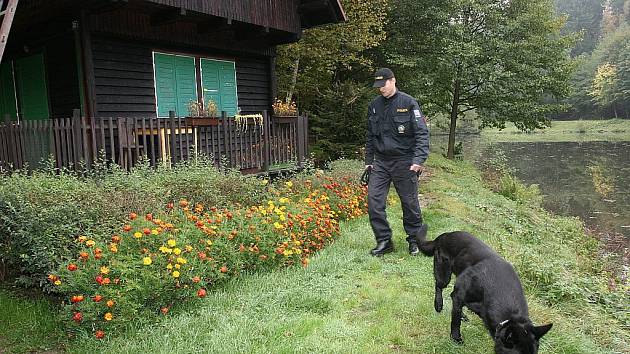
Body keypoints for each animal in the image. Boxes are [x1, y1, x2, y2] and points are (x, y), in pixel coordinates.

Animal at [420, 228, 552, 352]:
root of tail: (445, 235)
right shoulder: (460, 295)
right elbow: (456, 321)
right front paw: (456, 338)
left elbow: (457, 309)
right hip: (444, 274)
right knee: (439, 286)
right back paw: (438, 304)